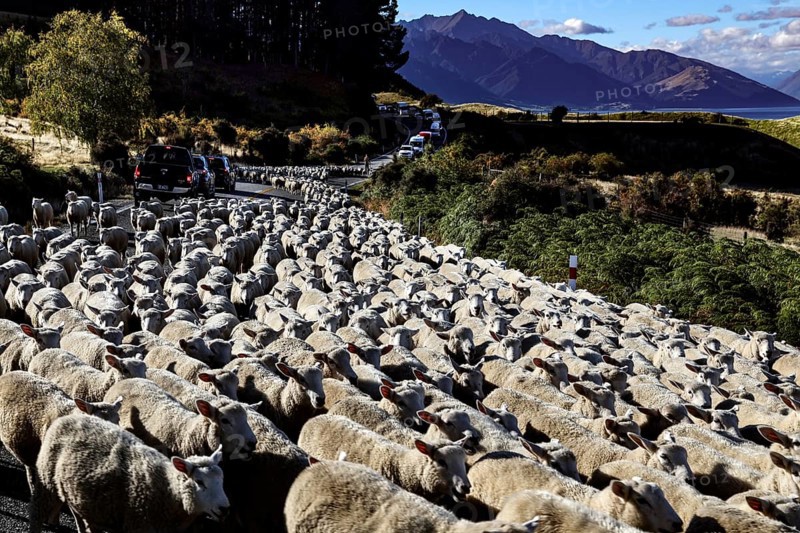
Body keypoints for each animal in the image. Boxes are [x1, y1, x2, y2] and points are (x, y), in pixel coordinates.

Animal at [36, 414, 229, 533]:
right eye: (199, 482)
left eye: (222, 481)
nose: (225, 509)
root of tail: (66, 418)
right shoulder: (138, 524)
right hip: (49, 482)